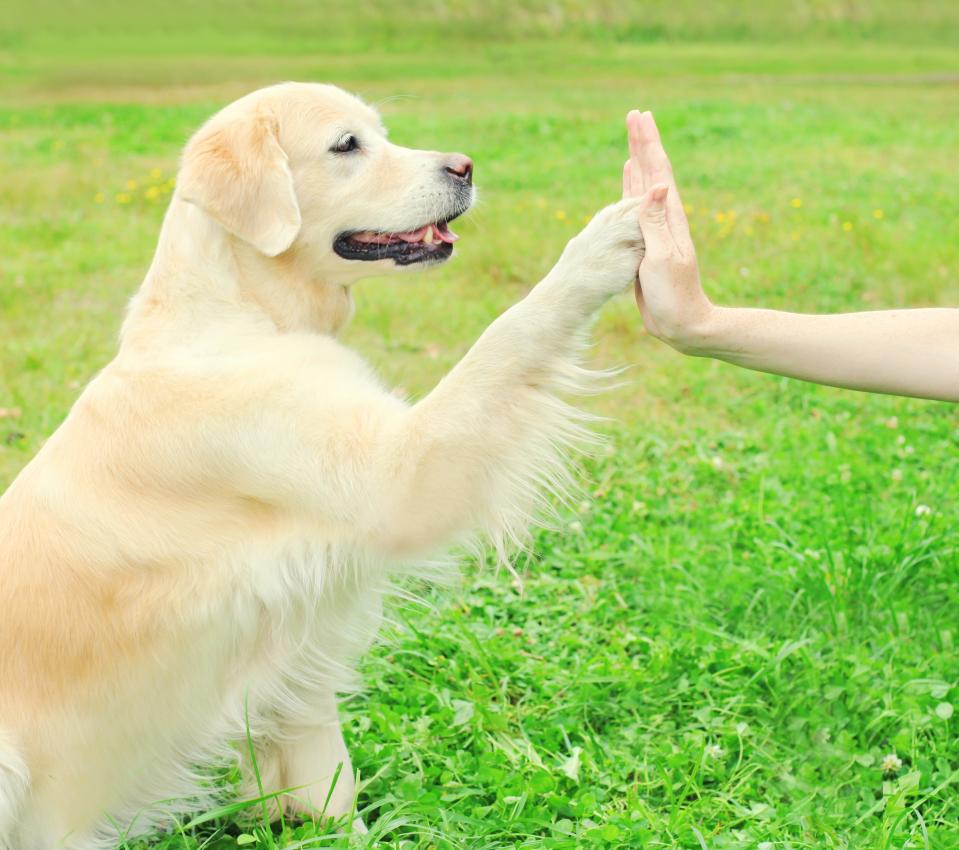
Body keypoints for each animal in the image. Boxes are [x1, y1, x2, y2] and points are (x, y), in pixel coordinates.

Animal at [1, 81, 644, 848]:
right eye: (346, 145)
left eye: (381, 133)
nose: (464, 166)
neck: (238, 312)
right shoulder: (400, 476)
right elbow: (507, 334)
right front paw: (601, 246)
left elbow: (322, 778)